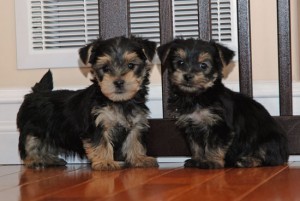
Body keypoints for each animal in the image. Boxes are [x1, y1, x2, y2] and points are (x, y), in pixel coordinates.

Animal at [18, 35, 159, 170]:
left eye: (131, 65)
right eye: (105, 68)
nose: (118, 82)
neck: (119, 102)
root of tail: (36, 94)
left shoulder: (136, 123)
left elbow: (134, 142)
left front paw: (139, 158)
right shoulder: (98, 124)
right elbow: (101, 143)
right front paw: (105, 162)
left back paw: (50, 160)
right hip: (33, 128)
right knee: (31, 144)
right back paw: (35, 160)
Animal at [157, 38, 288, 169]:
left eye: (203, 65)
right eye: (180, 62)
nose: (188, 76)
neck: (197, 96)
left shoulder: (220, 126)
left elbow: (214, 145)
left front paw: (211, 161)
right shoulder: (192, 126)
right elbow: (196, 146)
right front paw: (198, 160)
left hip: (268, 140)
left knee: (269, 157)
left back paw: (247, 160)